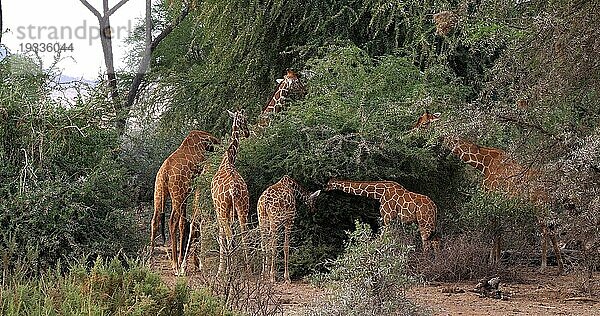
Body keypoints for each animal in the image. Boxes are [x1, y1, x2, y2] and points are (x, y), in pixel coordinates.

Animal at [150, 130, 220, 272]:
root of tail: (164, 173)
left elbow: (186, 222)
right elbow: (186, 223)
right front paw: (188, 262)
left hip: (159, 191)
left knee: (155, 221)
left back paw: (150, 263)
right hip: (178, 195)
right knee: (173, 221)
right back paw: (176, 265)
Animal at [412, 111, 564, 272]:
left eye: (424, 124)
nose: (411, 131)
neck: (482, 164)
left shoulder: (491, 196)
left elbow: (493, 228)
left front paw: (492, 261)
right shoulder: (499, 201)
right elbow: (498, 229)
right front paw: (497, 260)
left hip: (538, 205)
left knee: (544, 230)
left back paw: (543, 266)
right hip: (547, 205)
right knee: (552, 229)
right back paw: (560, 267)